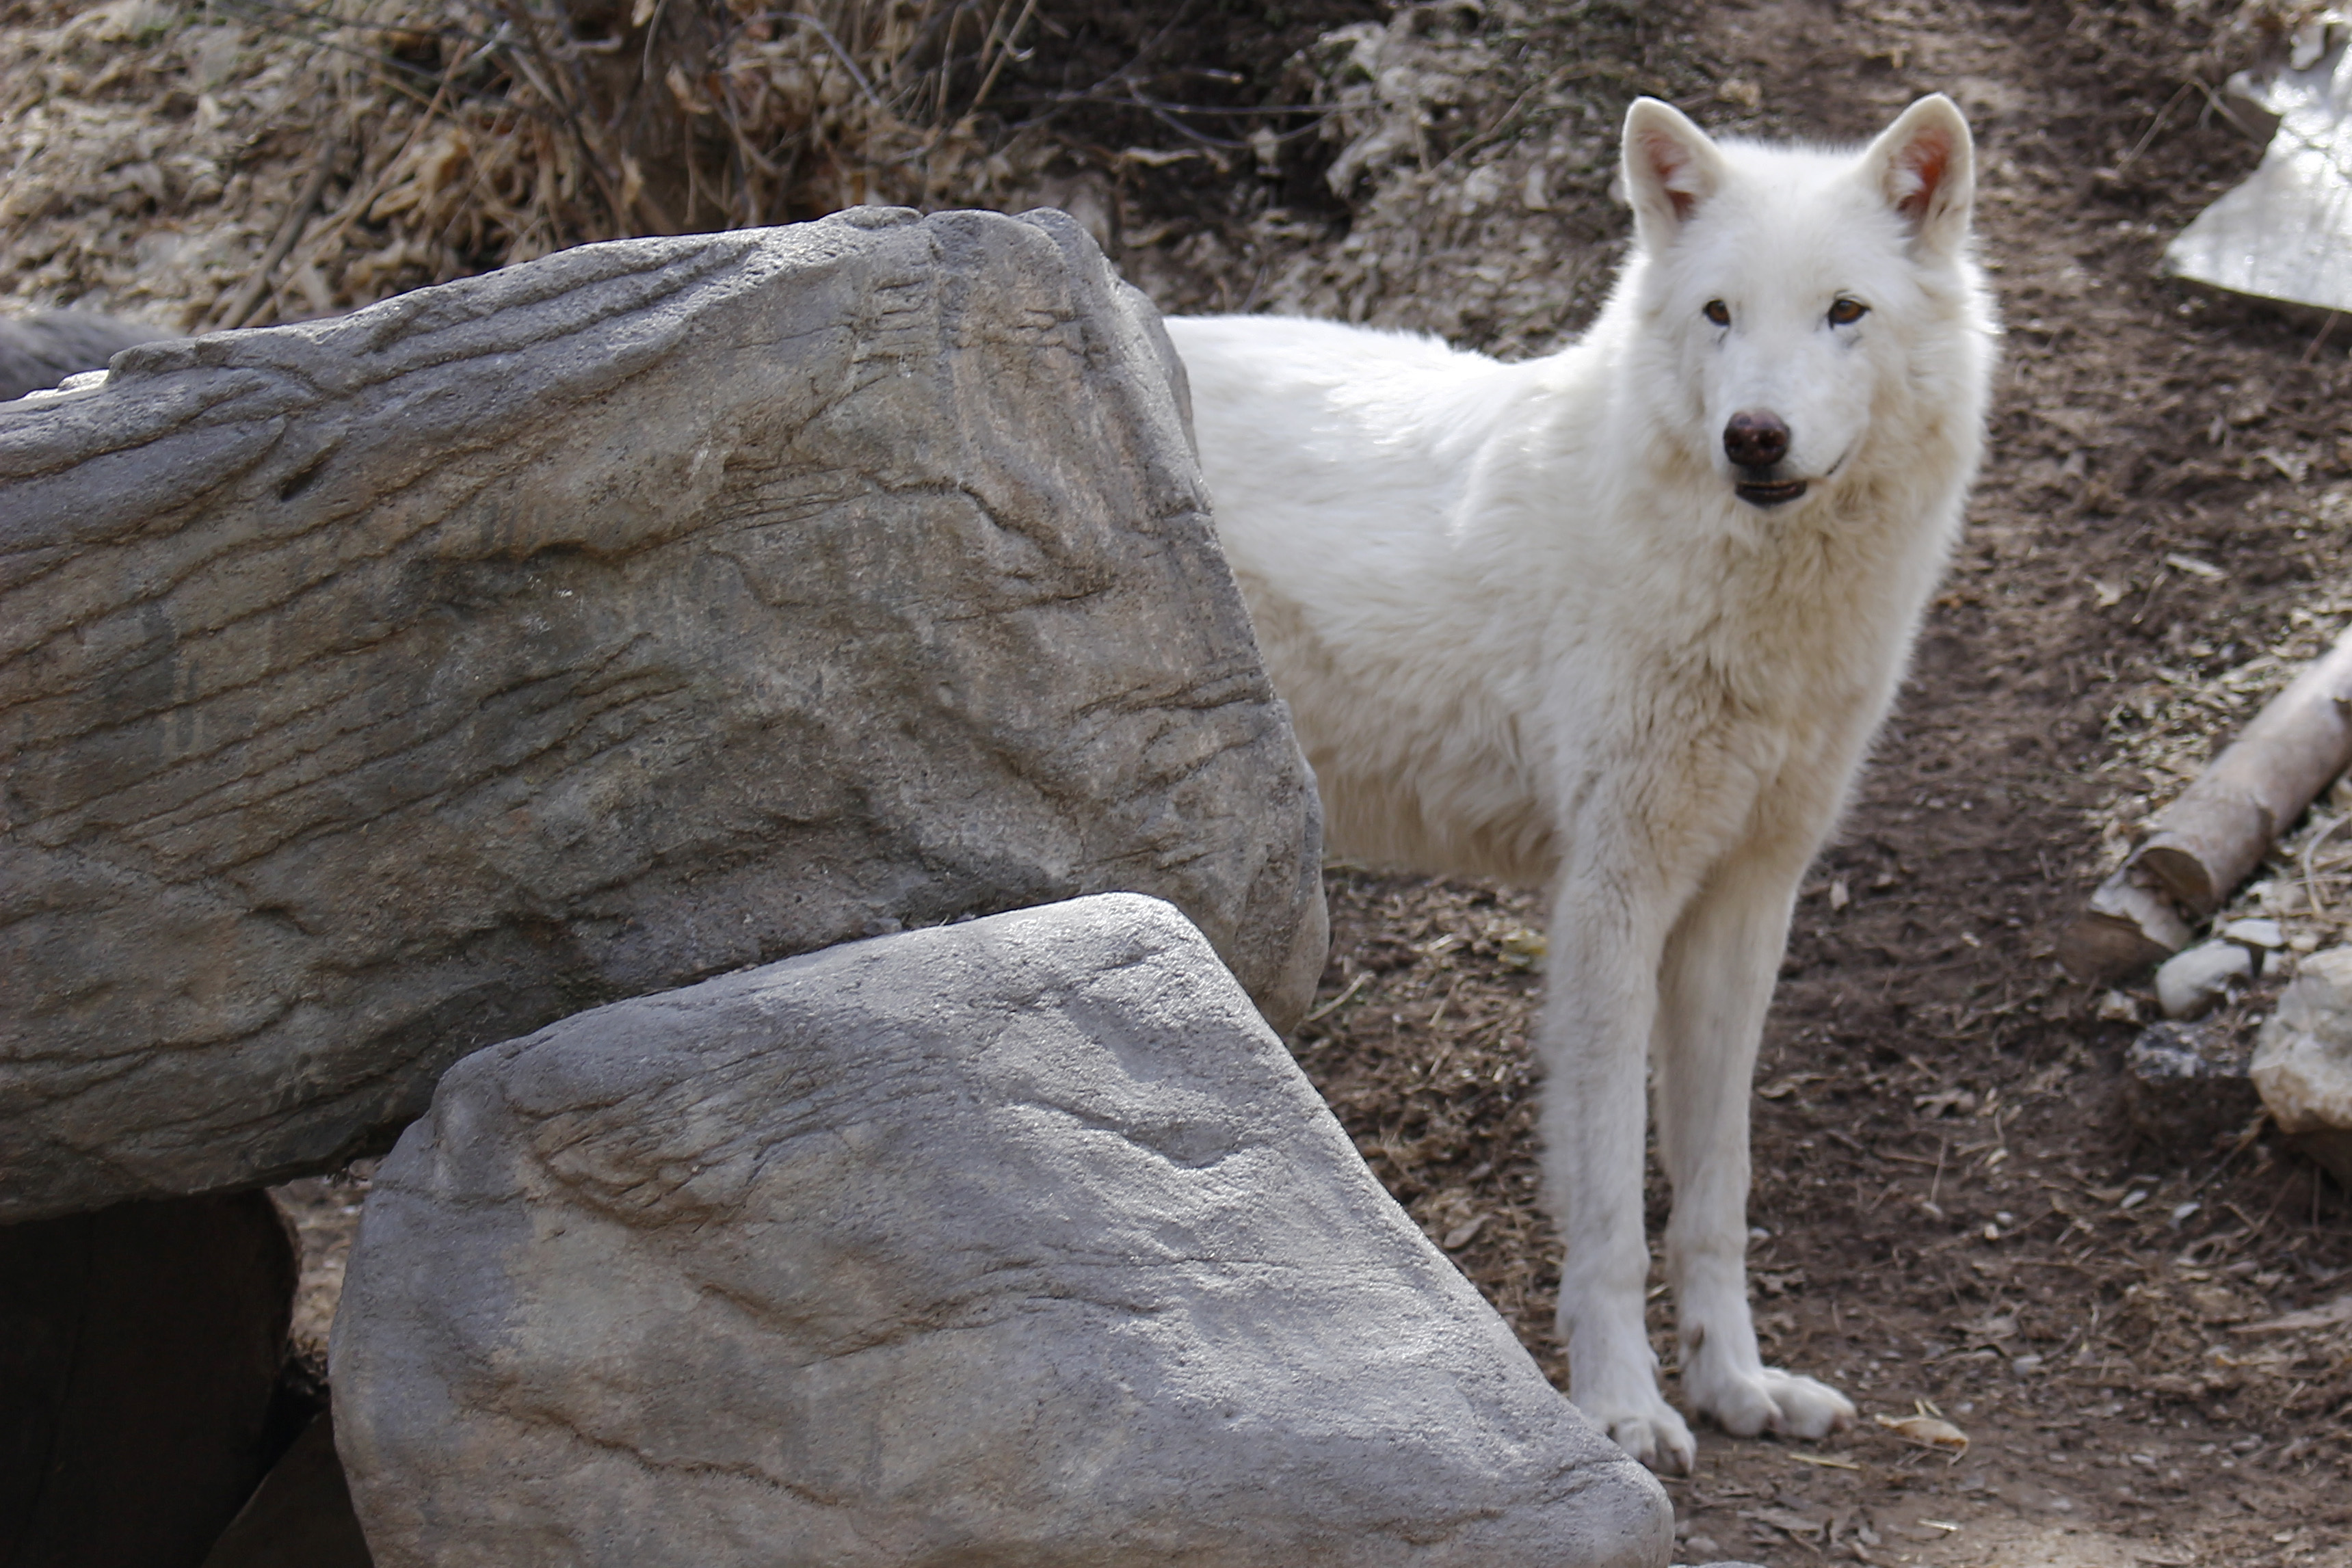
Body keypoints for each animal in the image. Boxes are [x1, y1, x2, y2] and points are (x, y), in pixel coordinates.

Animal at [1163, 95, 1995, 1472]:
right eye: (1717, 313)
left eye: (1843, 311)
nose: (1752, 436)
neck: (1752, 603)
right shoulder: (1611, 897)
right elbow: (1607, 1196)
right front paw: (1618, 1407)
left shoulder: (1741, 905)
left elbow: (1714, 1188)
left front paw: (1735, 1384)